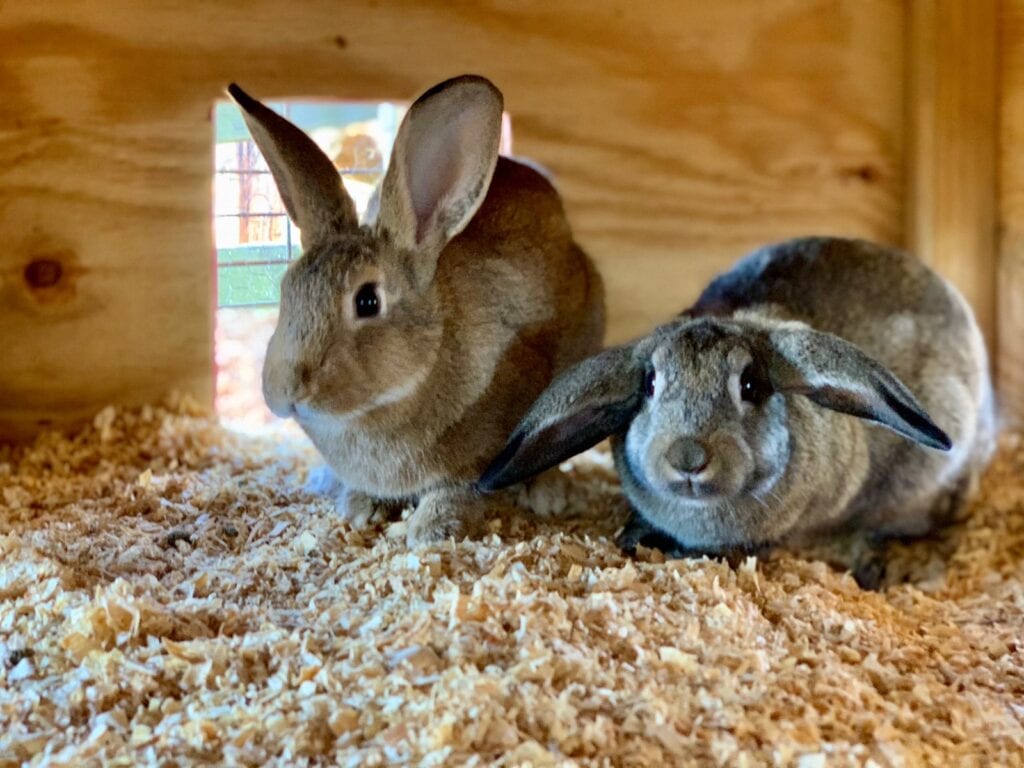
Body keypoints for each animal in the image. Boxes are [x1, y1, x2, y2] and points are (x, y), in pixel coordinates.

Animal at [228, 75, 602, 548]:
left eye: (367, 301)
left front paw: (431, 528)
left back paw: (548, 494)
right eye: (285, 289)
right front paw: (360, 507)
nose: (284, 392)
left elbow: (461, 487)